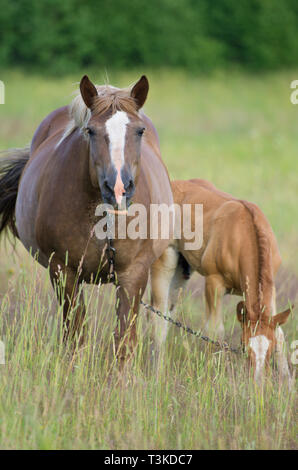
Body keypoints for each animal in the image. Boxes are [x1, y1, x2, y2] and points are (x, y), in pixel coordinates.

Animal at [0, 74, 173, 364]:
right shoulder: (63, 271)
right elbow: (76, 337)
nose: (118, 188)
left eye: (139, 131)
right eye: (90, 131)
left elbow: (124, 342)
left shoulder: (133, 273)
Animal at [150, 178, 292, 384]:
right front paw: (213, 377)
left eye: (270, 349)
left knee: (169, 312)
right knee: (157, 315)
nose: (257, 381)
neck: (244, 234)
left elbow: (280, 334)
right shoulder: (213, 283)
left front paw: (287, 384)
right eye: (243, 345)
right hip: (165, 260)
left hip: (181, 271)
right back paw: (156, 371)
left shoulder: (270, 288)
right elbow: (215, 331)